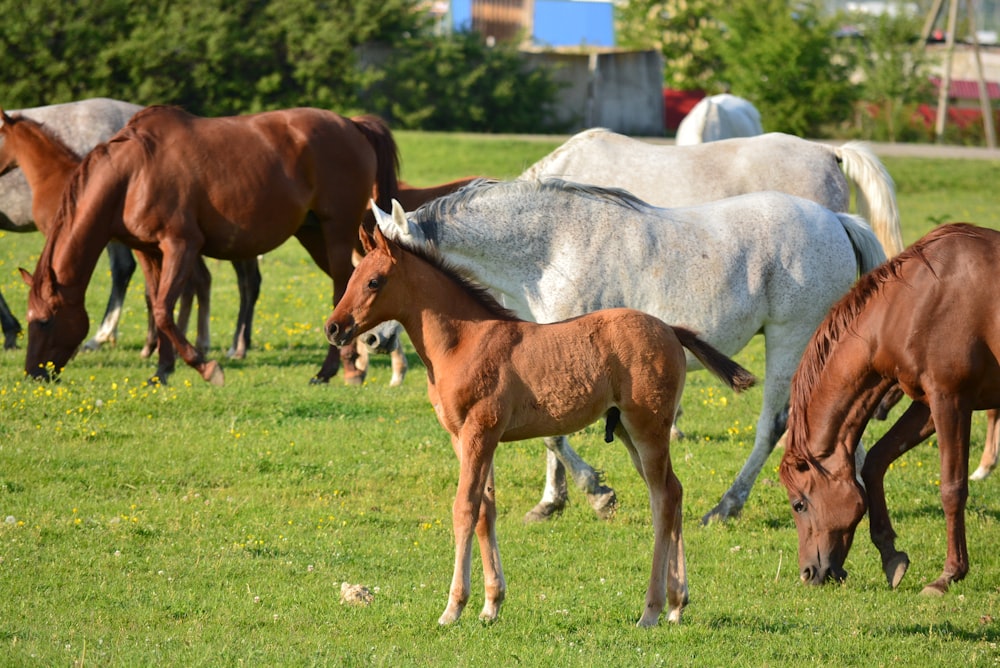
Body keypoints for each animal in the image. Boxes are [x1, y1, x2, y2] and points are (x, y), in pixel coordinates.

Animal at [324, 226, 752, 628]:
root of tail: (669, 328)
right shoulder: (464, 438)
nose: (333, 328)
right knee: (673, 492)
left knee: (662, 499)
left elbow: (464, 508)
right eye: (352, 277)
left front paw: (453, 608)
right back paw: (678, 605)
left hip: (647, 428)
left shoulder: (480, 431)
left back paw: (651, 611)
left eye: (374, 281)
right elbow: (486, 510)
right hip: (630, 431)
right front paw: (491, 605)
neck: (464, 341)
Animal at [376, 180, 884, 524]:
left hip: (789, 341)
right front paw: (552, 502)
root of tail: (836, 221)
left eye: (387, 270)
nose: (374, 339)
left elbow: (557, 437)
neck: (552, 250)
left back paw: (726, 506)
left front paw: (597, 494)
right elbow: (550, 436)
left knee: (774, 426)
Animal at [780, 223, 1000, 596]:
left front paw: (948, 575)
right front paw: (890, 554)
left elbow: (952, 488)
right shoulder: (926, 405)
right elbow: (874, 462)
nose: (808, 573)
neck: (912, 303)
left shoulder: (950, 400)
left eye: (799, 504)